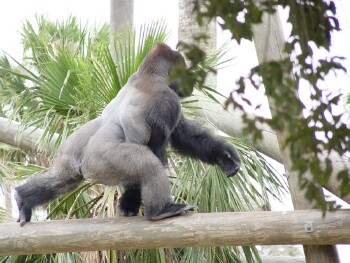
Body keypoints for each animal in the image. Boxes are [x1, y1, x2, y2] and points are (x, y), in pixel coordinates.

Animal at [14, 42, 241, 226]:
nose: (191, 84)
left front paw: (224, 155)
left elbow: (185, 136)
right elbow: (156, 151)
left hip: (72, 150)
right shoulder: (167, 100)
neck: (148, 74)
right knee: (148, 164)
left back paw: (24, 200)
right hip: (101, 160)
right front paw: (131, 201)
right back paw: (159, 211)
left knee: (62, 179)